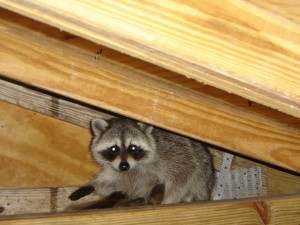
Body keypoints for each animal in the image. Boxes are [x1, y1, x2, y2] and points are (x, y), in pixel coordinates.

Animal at [69, 118, 214, 206]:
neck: (135, 166)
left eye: (133, 148)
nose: (124, 165)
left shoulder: (173, 154)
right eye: (114, 149)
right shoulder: (120, 172)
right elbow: (112, 183)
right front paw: (92, 185)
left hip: (202, 179)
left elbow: (184, 173)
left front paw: (168, 199)